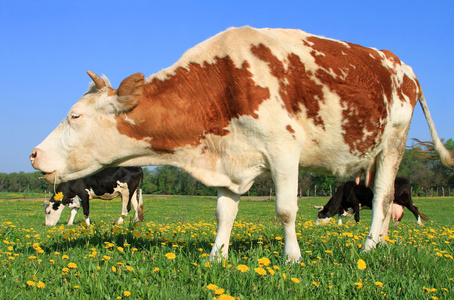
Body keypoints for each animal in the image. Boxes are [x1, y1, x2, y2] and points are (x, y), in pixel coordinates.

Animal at [30, 27, 452, 262]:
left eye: (74, 116)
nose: (33, 153)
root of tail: (401, 65)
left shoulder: (284, 150)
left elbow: (285, 210)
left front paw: (293, 259)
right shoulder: (227, 160)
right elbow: (224, 213)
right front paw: (217, 258)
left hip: (394, 141)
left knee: (383, 197)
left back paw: (368, 247)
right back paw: (380, 244)